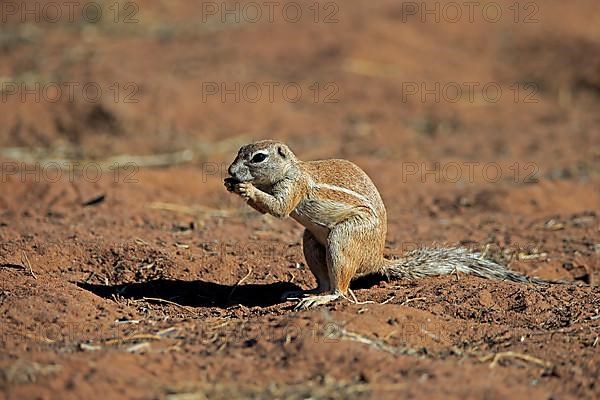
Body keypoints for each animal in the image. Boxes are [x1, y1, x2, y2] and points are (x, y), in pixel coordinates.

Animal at [225, 140, 544, 310]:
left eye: (258, 157)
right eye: (238, 150)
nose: (230, 171)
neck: (291, 168)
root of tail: (377, 259)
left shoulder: (294, 186)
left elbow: (279, 208)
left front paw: (245, 188)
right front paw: (231, 184)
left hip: (343, 238)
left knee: (342, 289)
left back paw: (322, 299)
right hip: (311, 242)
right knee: (325, 278)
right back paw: (306, 293)